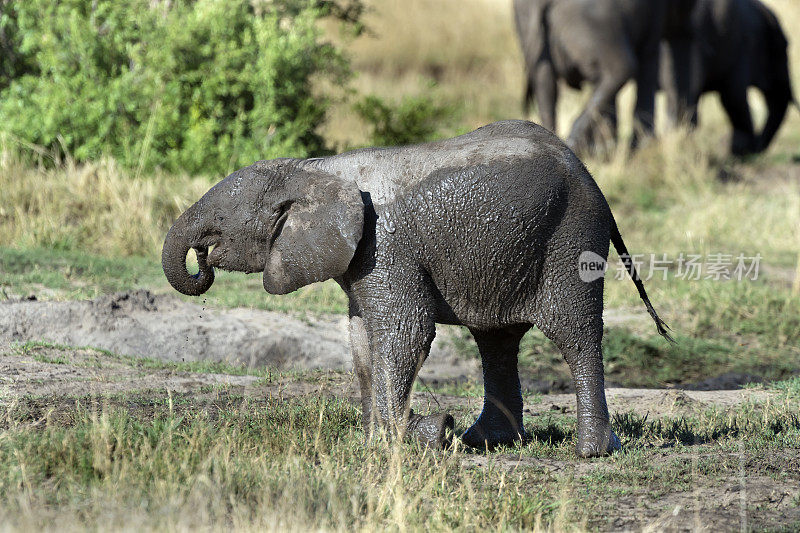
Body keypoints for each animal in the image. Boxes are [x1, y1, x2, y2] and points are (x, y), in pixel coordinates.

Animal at [159, 120, 672, 458]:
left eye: (221, 220)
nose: (202, 258)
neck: (314, 170)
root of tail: (586, 171)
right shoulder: (362, 260)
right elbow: (362, 339)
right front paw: (382, 440)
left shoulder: (386, 247)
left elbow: (404, 334)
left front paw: (405, 439)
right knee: (496, 340)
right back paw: (484, 441)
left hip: (572, 235)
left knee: (574, 332)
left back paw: (592, 452)